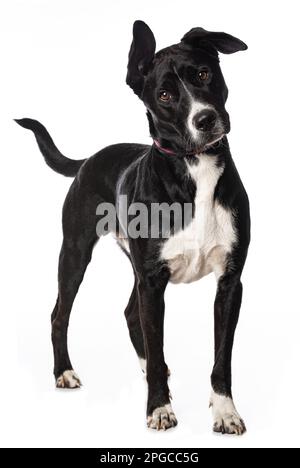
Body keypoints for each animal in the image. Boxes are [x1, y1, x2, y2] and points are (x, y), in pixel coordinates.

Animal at [16, 19, 251, 436]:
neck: (195, 170)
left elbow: (221, 357)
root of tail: (88, 159)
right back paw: (64, 372)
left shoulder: (229, 283)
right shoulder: (152, 282)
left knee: (130, 314)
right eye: (164, 95)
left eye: (204, 74)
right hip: (75, 254)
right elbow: (156, 344)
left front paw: (225, 411)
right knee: (60, 314)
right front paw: (159, 408)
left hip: (135, 269)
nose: (205, 119)